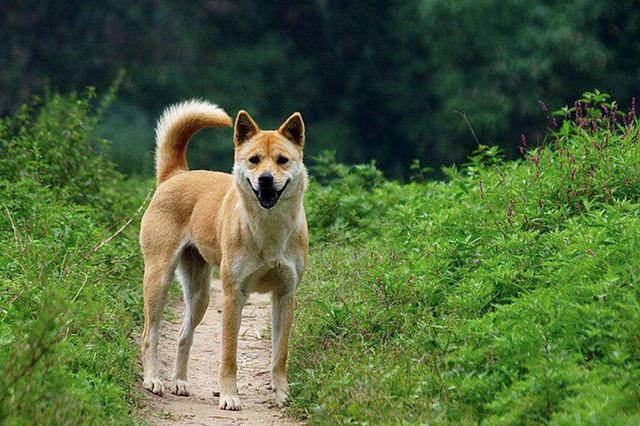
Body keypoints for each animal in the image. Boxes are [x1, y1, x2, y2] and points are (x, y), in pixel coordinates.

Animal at [141, 99, 310, 410]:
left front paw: (282, 394)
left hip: (200, 296)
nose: (266, 180)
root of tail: (176, 174)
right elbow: (229, 355)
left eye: (282, 160)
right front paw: (230, 395)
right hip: (159, 279)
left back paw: (179, 382)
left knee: (184, 337)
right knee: (150, 334)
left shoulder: (285, 295)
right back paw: (153, 379)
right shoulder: (234, 295)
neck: (268, 229)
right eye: (254, 159)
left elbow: (279, 355)